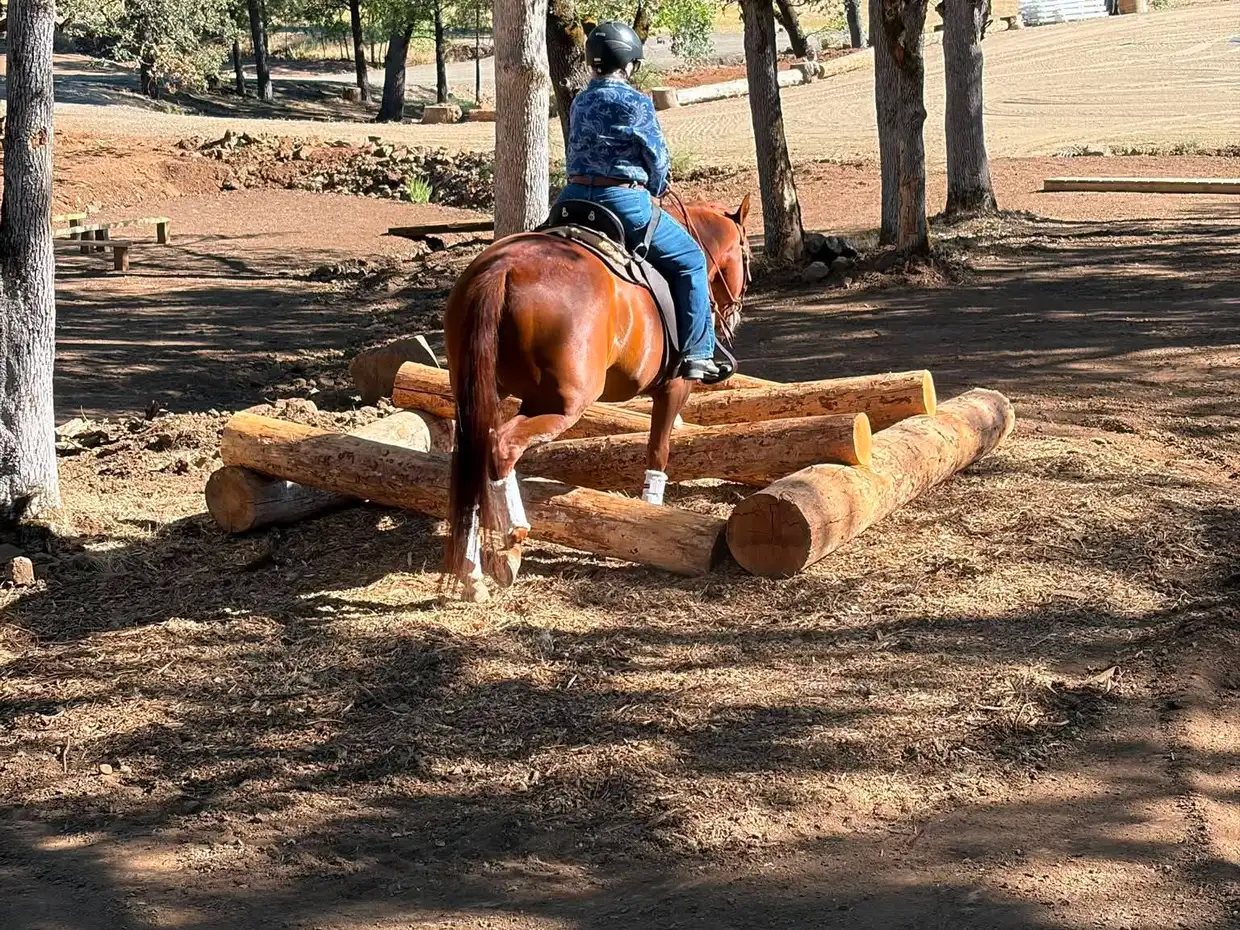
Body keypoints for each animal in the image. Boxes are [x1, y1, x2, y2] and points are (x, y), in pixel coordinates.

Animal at [442, 193, 753, 600]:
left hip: (478, 396)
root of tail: (504, 268)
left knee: (474, 461)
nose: (733, 317)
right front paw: (651, 511)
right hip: (560, 406)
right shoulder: (674, 387)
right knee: (502, 448)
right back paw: (512, 540)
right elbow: (659, 450)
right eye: (746, 255)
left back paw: (473, 574)